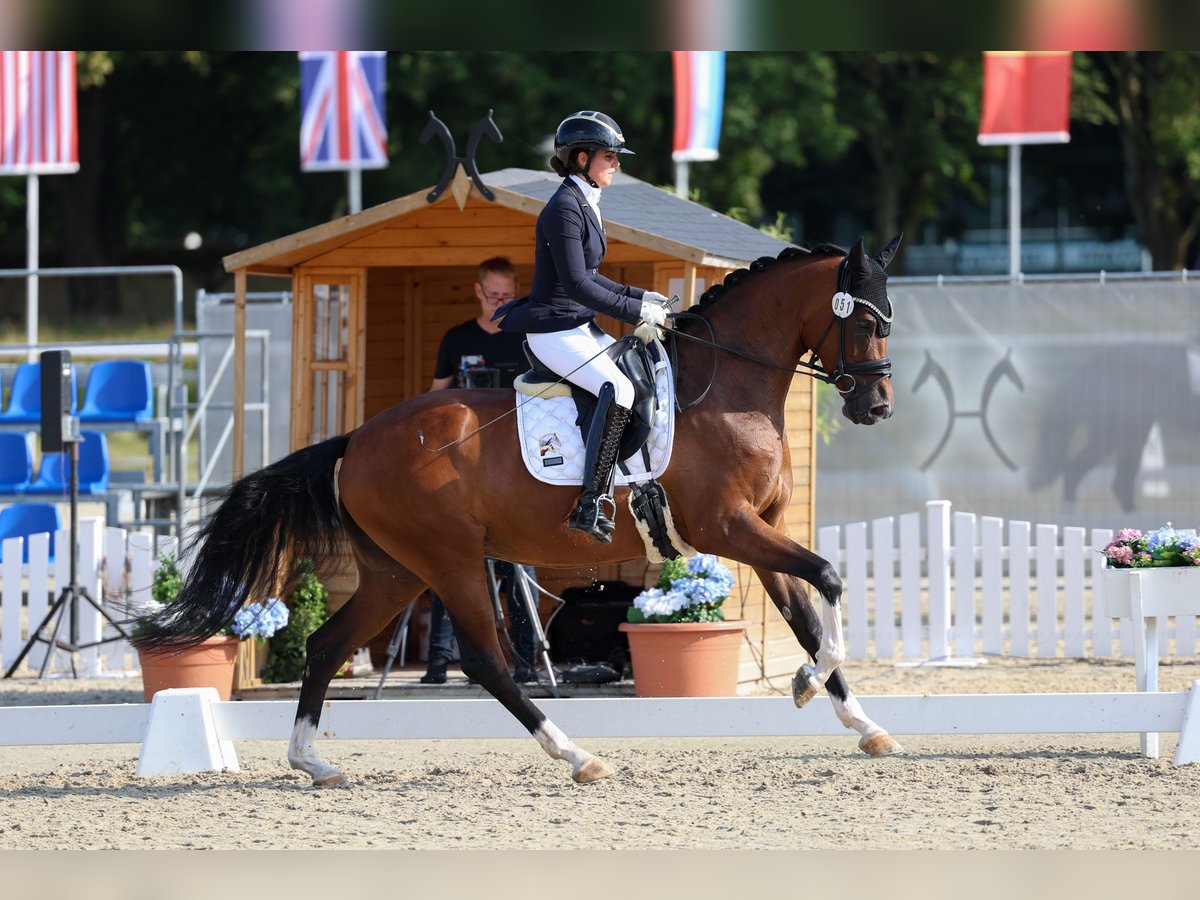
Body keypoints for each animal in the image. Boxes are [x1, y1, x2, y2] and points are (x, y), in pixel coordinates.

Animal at [133, 234, 902, 787]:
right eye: (865, 321)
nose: (877, 406)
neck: (727, 387)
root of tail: (357, 439)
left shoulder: (761, 529)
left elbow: (808, 620)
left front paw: (861, 723)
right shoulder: (729, 527)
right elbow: (829, 579)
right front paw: (807, 685)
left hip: (397, 572)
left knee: (326, 645)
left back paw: (313, 762)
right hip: (449, 561)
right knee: (487, 661)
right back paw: (579, 758)